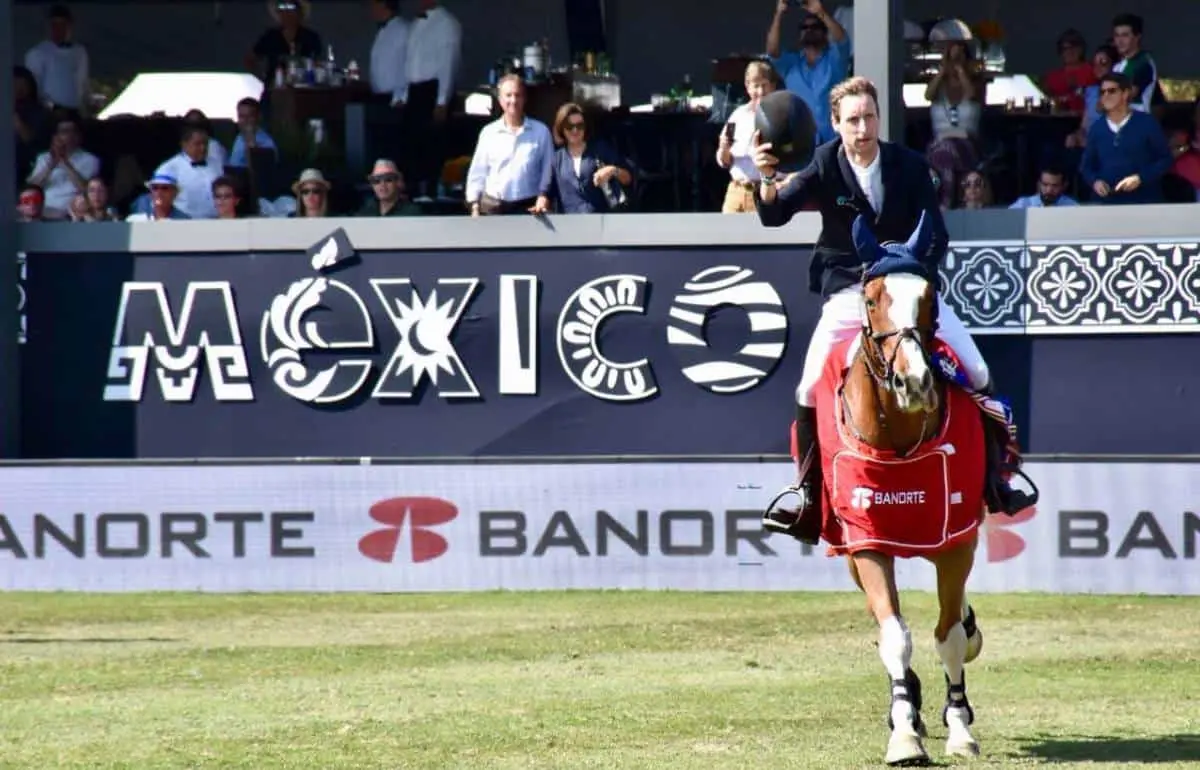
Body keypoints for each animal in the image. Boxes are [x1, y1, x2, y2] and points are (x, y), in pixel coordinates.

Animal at [772, 208, 988, 762]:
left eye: (931, 297)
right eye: (871, 299)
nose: (913, 383)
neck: (900, 437)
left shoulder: (955, 539)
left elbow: (950, 635)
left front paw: (959, 727)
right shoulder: (866, 541)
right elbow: (895, 635)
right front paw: (905, 733)